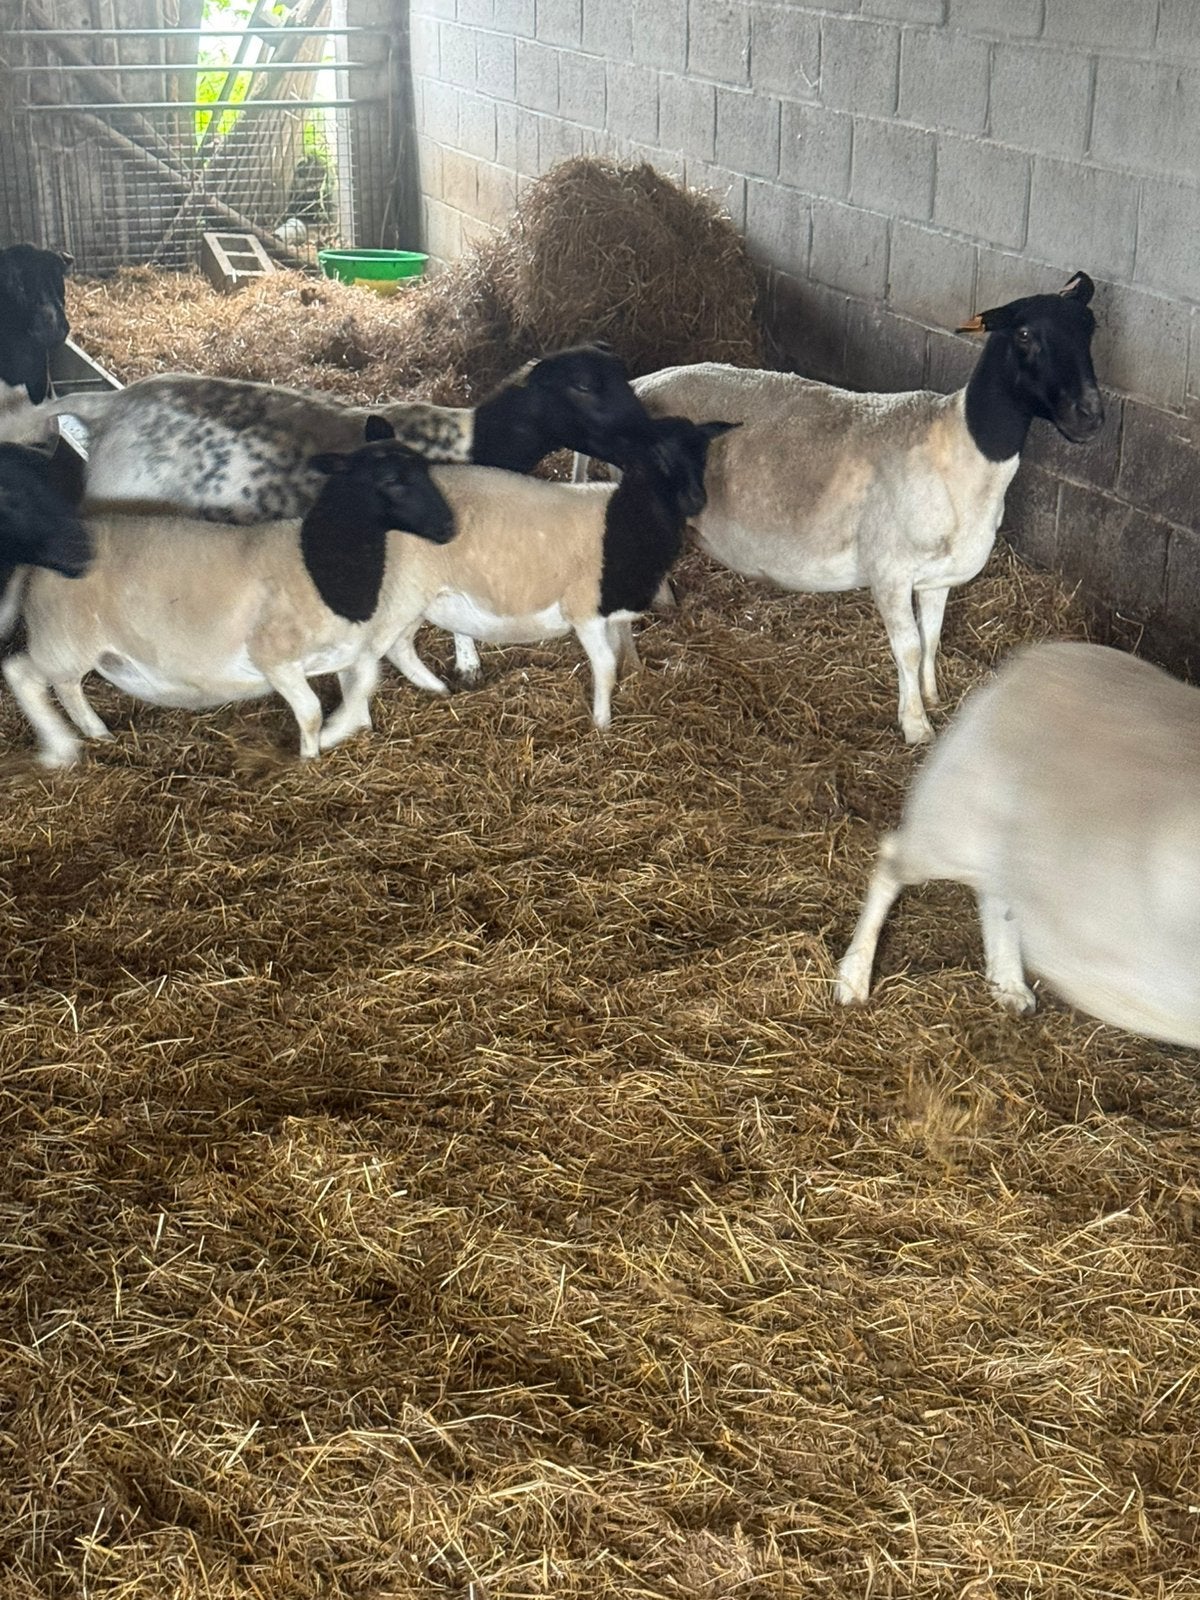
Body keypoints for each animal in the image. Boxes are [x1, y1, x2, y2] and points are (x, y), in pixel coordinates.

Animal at [1, 436, 455, 769]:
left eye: (425, 471)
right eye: (392, 480)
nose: (450, 527)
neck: (318, 567)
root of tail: (38, 563)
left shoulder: (344, 651)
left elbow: (363, 684)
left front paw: (345, 729)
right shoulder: (275, 658)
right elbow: (310, 709)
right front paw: (311, 755)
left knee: (66, 687)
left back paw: (98, 733)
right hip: (63, 639)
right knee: (24, 675)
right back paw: (61, 748)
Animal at [310, 414, 736, 730]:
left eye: (704, 454)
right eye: (658, 453)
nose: (696, 500)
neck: (626, 517)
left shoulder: (611, 608)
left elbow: (622, 652)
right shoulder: (583, 609)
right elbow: (605, 666)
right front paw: (602, 724)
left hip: (418, 598)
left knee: (399, 648)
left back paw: (439, 690)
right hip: (395, 596)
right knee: (361, 658)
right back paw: (359, 724)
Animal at [612, 272, 1103, 744]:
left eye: (1090, 329)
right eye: (1025, 334)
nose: (1090, 415)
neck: (962, 446)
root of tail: (641, 384)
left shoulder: (937, 578)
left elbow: (933, 637)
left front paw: (932, 696)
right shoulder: (890, 571)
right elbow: (909, 647)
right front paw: (916, 725)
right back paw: (631, 668)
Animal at [835, 641, 1200, 1049]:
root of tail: (1038, 657)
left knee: (997, 895)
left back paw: (1009, 983)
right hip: (953, 819)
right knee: (892, 861)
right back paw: (853, 978)